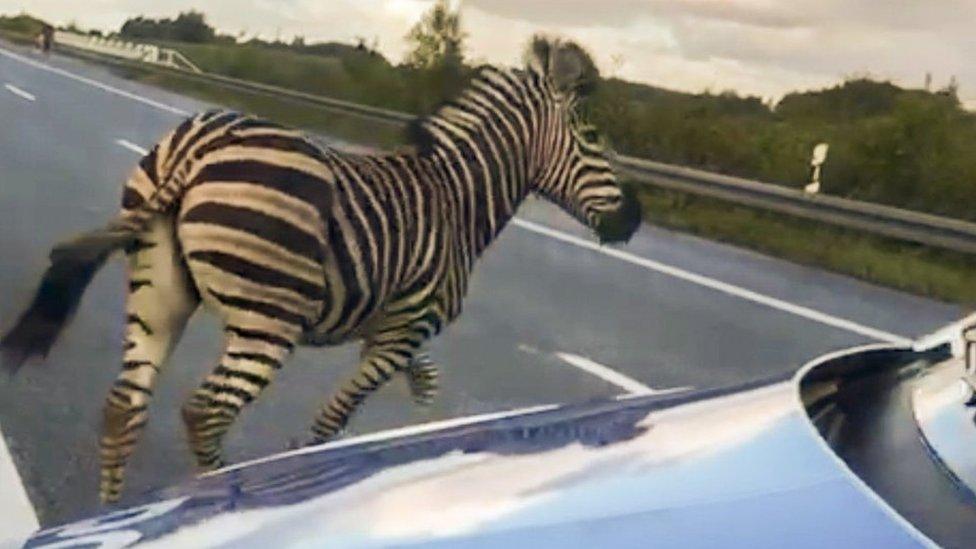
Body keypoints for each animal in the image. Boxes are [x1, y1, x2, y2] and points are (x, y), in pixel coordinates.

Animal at [0, 36, 640, 504]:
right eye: (592, 138)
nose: (634, 218)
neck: (458, 200)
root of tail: (196, 147)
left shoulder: (394, 329)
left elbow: (425, 382)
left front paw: (426, 429)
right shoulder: (403, 330)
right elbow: (334, 417)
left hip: (160, 292)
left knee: (124, 406)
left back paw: (113, 509)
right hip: (268, 320)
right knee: (205, 411)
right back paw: (224, 494)